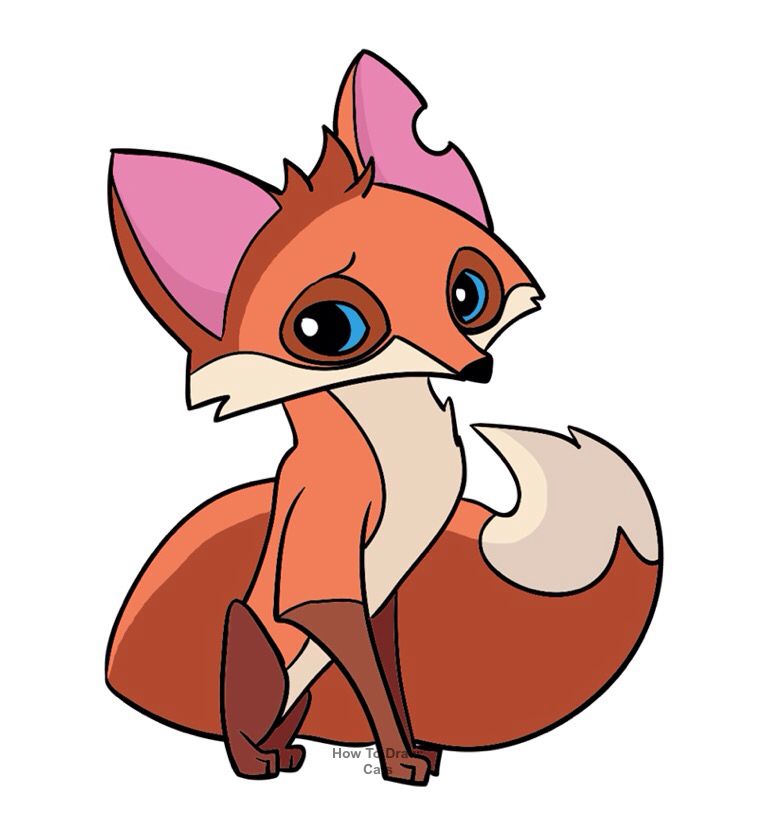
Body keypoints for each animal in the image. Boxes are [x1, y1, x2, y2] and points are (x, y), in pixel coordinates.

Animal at [106, 51, 662, 786]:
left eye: (468, 293)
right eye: (328, 328)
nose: (477, 368)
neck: (399, 445)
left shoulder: (386, 592)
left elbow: (389, 674)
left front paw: (414, 749)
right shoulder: (327, 560)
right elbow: (366, 675)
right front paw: (399, 760)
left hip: (303, 688)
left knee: (299, 711)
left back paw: (290, 750)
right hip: (252, 638)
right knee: (248, 711)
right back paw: (257, 761)